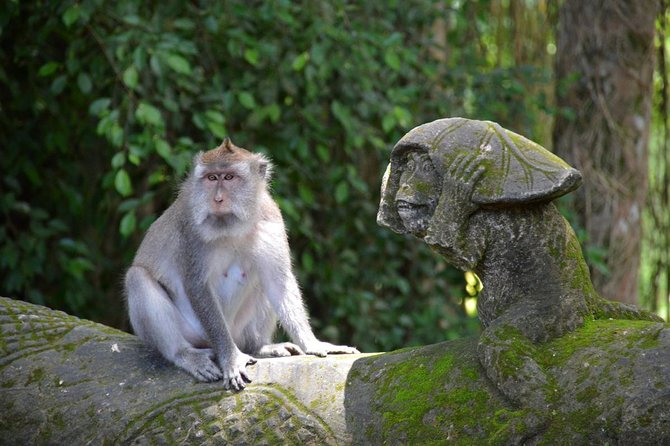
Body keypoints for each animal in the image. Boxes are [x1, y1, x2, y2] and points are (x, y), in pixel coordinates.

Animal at [124, 138, 360, 388]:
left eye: (229, 177)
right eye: (211, 178)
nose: (217, 199)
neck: (232, 225)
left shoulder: (270, 219)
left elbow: (278, 281)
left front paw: (313, 344)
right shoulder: (191, 232)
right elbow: (198, 286)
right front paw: (231, 358)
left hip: (238, 330)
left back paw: (260, 346)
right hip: (194, 334)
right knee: (136, 277)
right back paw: (185, 354)